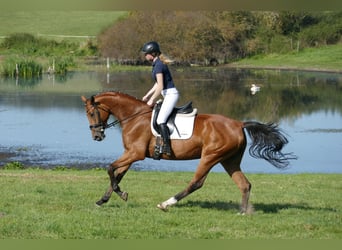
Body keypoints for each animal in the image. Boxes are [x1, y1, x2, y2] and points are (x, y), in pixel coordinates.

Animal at [81, 91, 296, 214]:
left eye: (91, 113)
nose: (97, 136)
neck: (133, 116)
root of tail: (238, 123)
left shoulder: (135, 154)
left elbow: (110, 169)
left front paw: (120, 194)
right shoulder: (131, 154)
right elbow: (118, 174)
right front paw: (104, 200)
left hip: (210, 156)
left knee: (196, 183)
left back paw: (166, 204)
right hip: (229, 160)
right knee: (244, 184)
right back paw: (243, 211)